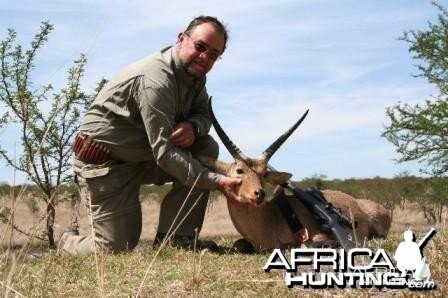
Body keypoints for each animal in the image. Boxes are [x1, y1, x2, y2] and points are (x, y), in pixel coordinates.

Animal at [200, 99, 392, 251]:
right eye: (239, 170)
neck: (270, 220)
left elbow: (305, 244)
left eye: (264, 174)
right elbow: (238, 245)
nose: (259, 193)